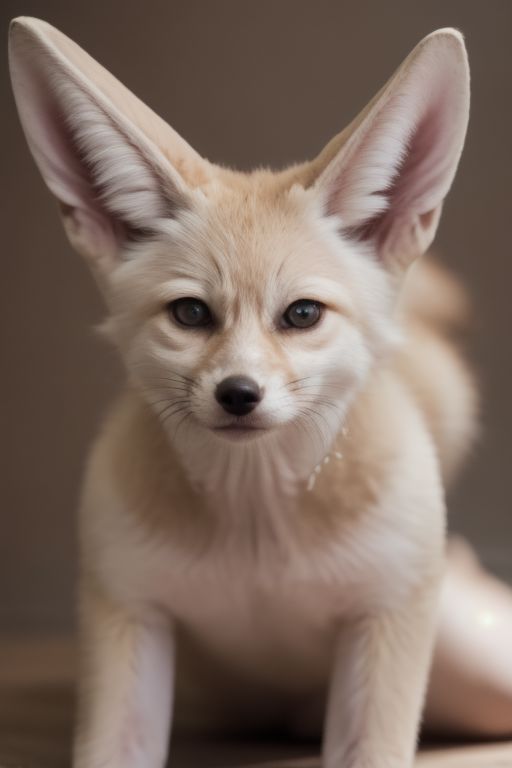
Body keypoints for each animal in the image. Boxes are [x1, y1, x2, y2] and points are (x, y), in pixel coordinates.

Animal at [9, 17, 487, 768]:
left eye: (301, 314)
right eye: (190, 314)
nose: (239, 394)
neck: (257, 528)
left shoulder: (387, 621)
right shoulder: (125, 611)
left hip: (471, 659)